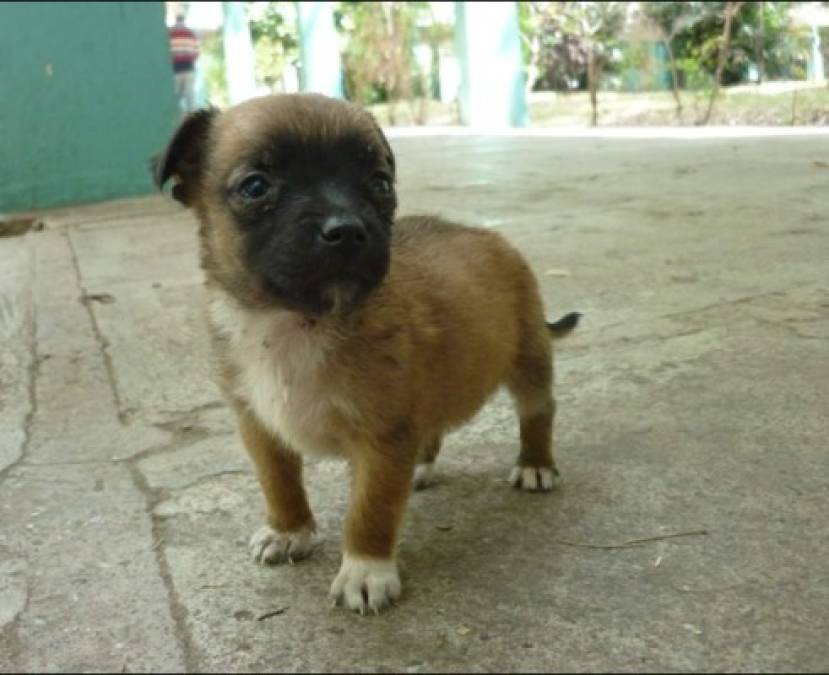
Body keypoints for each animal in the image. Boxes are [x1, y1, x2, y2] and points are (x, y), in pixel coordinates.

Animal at [152, 92, 580, 616]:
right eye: (256, 186)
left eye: (379, 184)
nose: (347, 230)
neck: (294, 323)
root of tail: (488, 235)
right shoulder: (260, 425)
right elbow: (279, 481)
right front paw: (288, 530)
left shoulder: (382, 437)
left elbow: (371, 510)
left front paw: (365, 570)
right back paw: (421, 467)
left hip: (528, 361)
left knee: (538, 410)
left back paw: (536, 463)